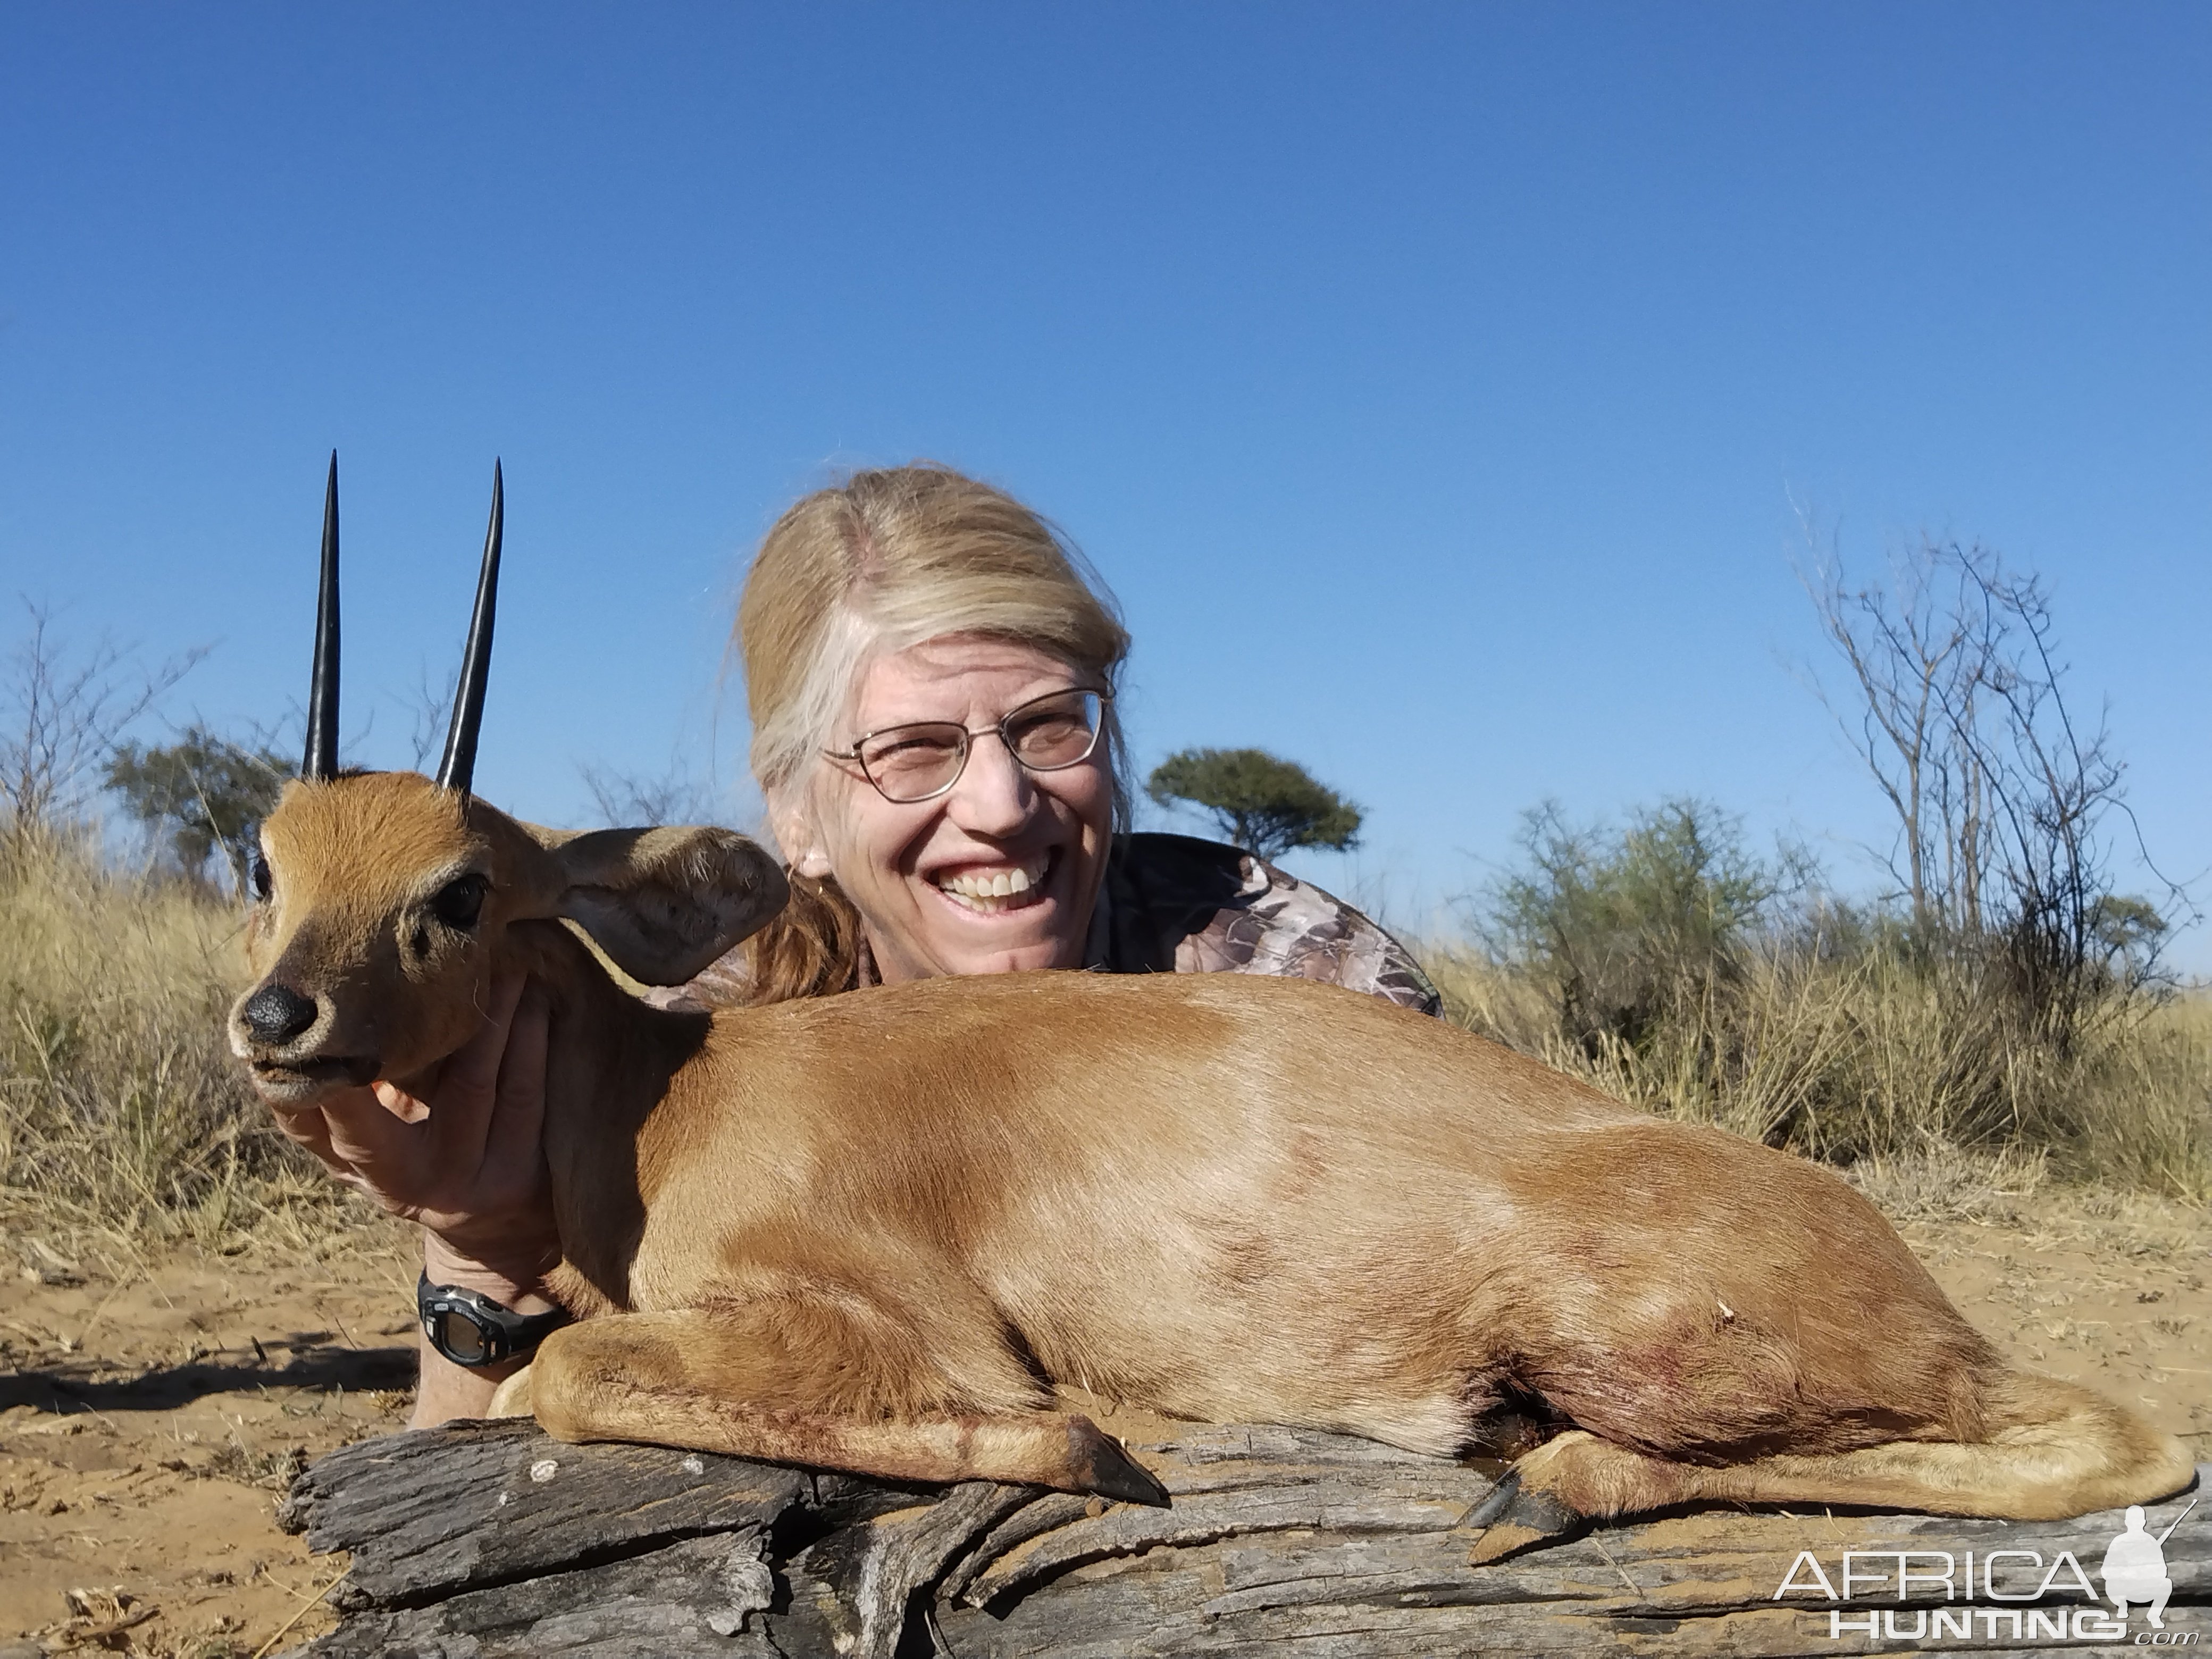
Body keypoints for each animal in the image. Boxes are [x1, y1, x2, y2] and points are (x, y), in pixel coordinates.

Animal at [233, 464, 2203, 1557]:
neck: (670, 1097)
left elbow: (572, 1375)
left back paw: (1550, 1482)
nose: (276, 1019)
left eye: (461, 888)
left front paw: (1083, 1449)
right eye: (269, 856)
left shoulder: (908, 1327)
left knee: (2118, 1432)